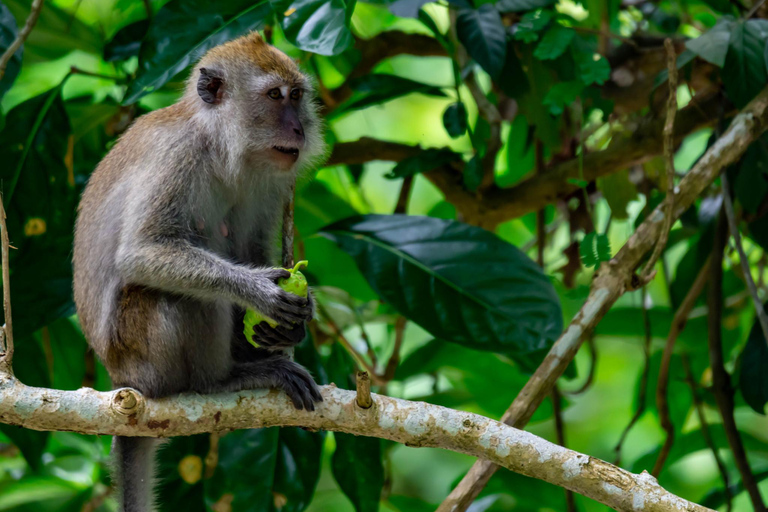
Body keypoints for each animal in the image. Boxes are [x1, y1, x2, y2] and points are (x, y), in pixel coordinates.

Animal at [70, 33, 326, 512]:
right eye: (274, 96)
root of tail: (120, 381)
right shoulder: (177, 157)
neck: (218, 145)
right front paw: (260, 291)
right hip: (142, 357)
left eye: (297, 96)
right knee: (182, 296)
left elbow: (249, 246)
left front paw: (293, 323)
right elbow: (141, 252)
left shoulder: (271, 182)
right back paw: (222, 381)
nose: (299, 130)